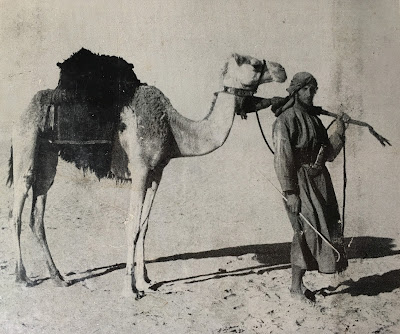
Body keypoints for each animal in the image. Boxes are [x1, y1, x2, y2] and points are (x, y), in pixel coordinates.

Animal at [7, 52, 286, 298]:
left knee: (37, 212)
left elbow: (144, 225)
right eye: (254, 64)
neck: (174, 130)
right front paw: (128, 289)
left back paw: (58, 278)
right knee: (16, 211)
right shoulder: (140, 170)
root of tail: (22, 112)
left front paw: (145, 282)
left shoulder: (156, 173)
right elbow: (132, 225)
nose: (281, 70)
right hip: (26, 143)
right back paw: (22, 277)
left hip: (48, 156)